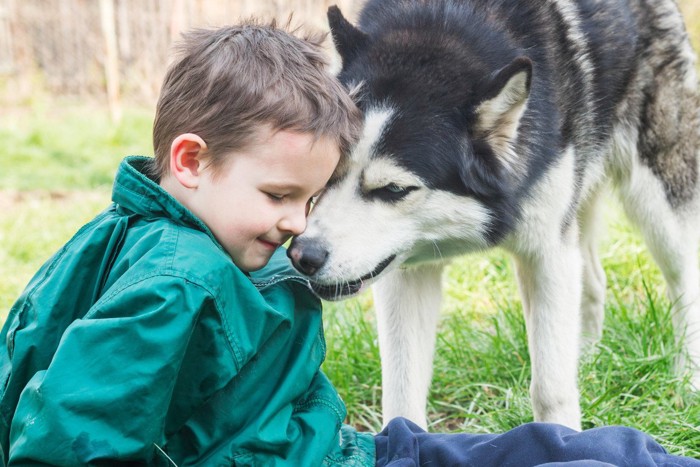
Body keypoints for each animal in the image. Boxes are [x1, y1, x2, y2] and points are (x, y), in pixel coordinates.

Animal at [286, 0, 700, 432]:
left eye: (394, 190)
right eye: (327, 173)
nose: (303, 255)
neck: (446, 22)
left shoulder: (547, 252)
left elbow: (550, 388)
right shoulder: (407, 273)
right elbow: (400, 395)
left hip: (657, 203)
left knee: (684, 280)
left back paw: (685, 381)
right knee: (594, 281)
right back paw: (586, 362)